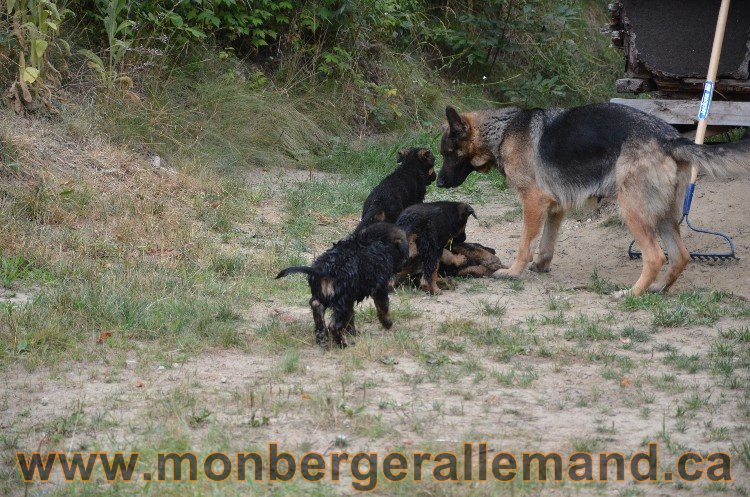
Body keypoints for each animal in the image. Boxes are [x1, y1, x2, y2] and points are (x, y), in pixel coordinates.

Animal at [276, 223, 408, 346]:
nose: (402, 267)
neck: (378, 240)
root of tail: (325, 268)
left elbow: (351, 317)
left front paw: (352, 332)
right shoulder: (379, 288)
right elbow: (383, 307)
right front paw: (388, 324)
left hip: (328, 296)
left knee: (318, 308)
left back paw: (322, 338)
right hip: (342, 301)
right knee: (334, 326)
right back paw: (343, 344)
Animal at [438, 101, 748, 294]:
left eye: (448, 153)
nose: (438, 183)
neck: (502, 130)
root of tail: (669, 138)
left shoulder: (533, 203)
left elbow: (525, 244)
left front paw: (514, 272)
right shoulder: (555, 208)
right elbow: (547, 244)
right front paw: (541, 266)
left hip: (632, 211)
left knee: (656, 256)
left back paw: (632, 293)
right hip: (663, 217)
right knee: (680, 256)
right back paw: (658, 289)